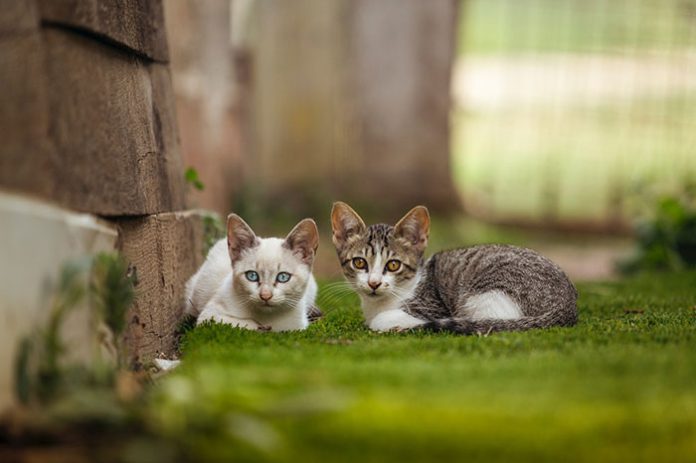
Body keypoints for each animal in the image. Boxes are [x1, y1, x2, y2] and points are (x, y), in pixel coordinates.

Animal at [182, 216, 318, 332]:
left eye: (283, 277)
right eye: (252, 276)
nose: (265, 296)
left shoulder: (297, 326)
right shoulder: (210, 316)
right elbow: (247, 324)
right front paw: (262, 328)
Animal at [330, 203, 576, 334]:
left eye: (393, 265)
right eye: (359, 262)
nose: (374, 283)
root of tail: (569, 304)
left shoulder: (433, 307)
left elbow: (382, 320)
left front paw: (392, 323)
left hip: (487, 292)